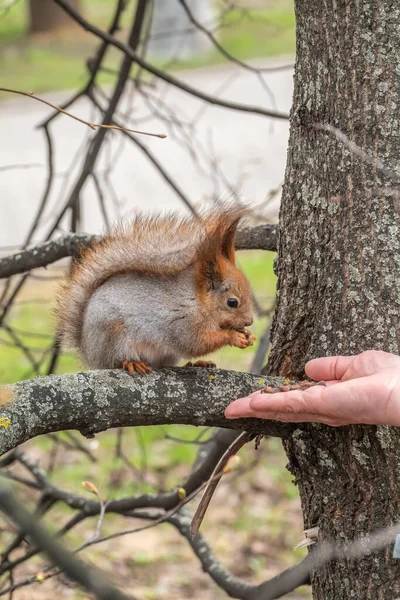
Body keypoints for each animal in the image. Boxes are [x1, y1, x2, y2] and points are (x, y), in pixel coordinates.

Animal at [56, 206, 255, 376]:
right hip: (113, 337)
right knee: (115, 361)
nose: (250, 321)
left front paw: (249, 336)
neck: (196, 301)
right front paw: (233, 336)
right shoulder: (181, 324)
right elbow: (196, 344)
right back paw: (131, 362)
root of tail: (88, 351)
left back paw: (196, 364)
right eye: (232, 302)